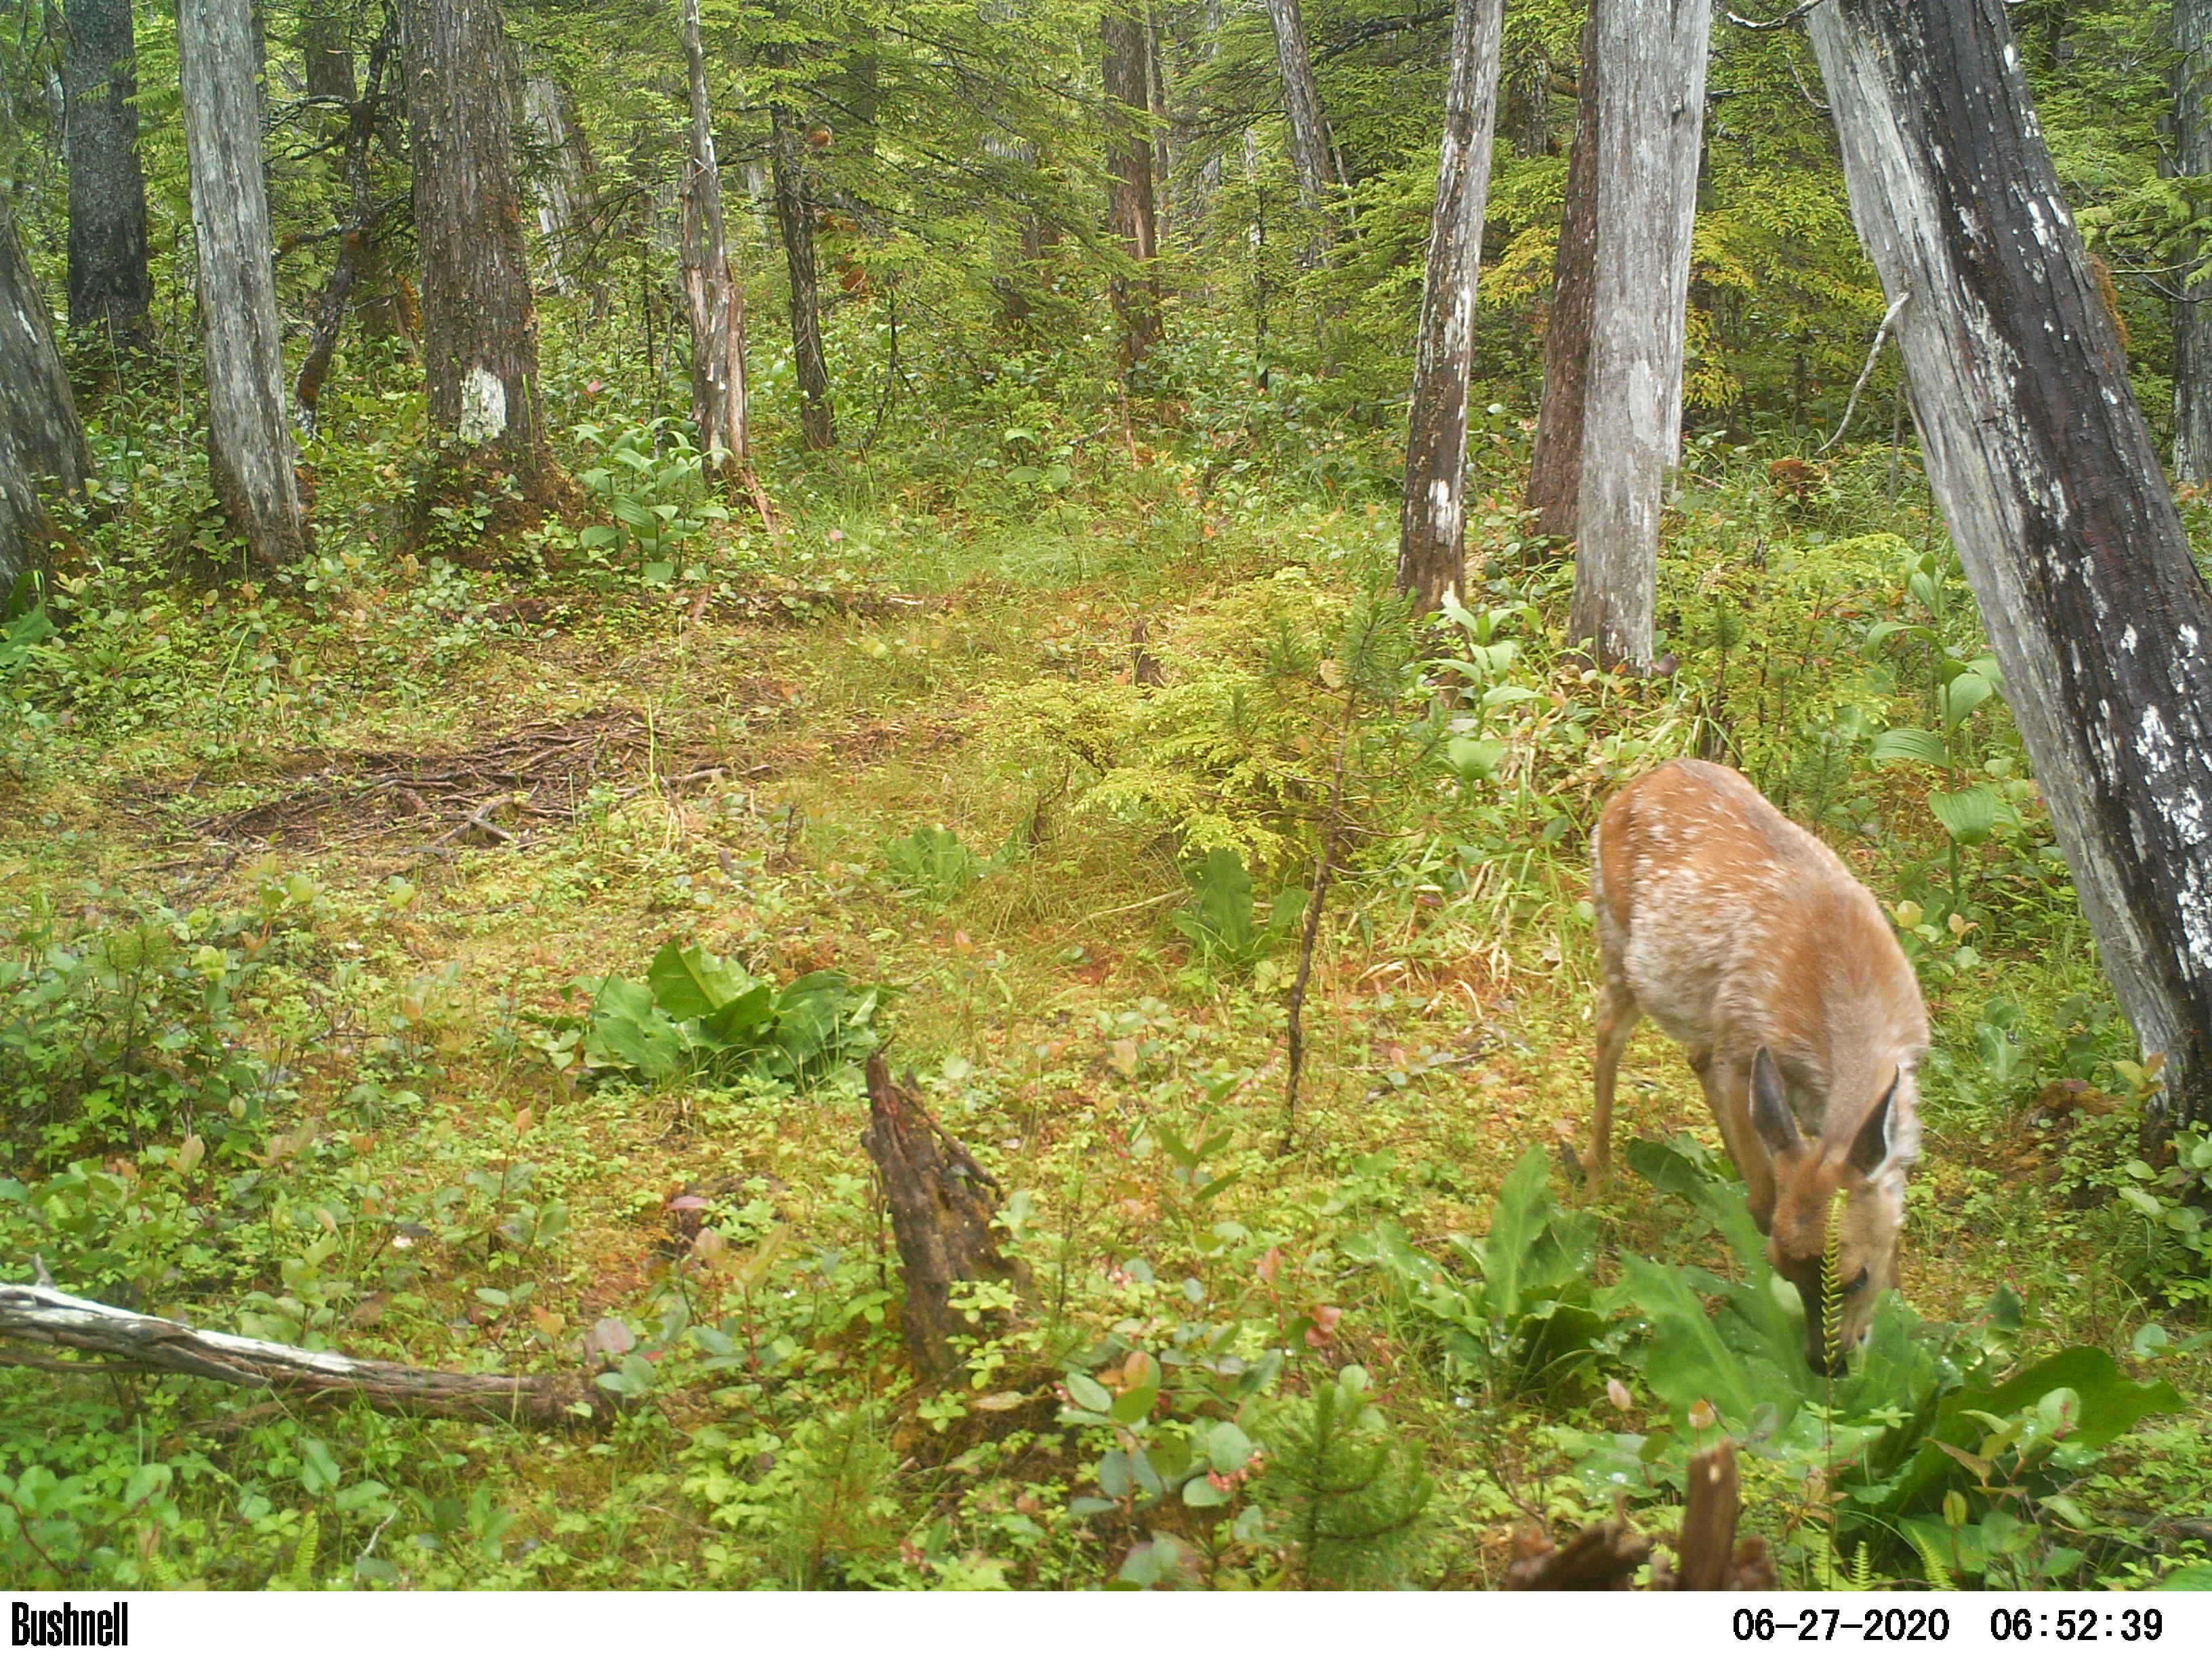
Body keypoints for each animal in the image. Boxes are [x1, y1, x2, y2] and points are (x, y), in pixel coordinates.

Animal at [1587, 759, 1929, 1376]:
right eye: (1781, 1269)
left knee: (1689, 1051)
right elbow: (1768, 1198)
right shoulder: (1745, 1050)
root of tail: (1640, 781)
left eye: (1856, 1276)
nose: (1826, 1365)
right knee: (1607, 1032)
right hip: (1616, 936)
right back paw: (1594, 1175)